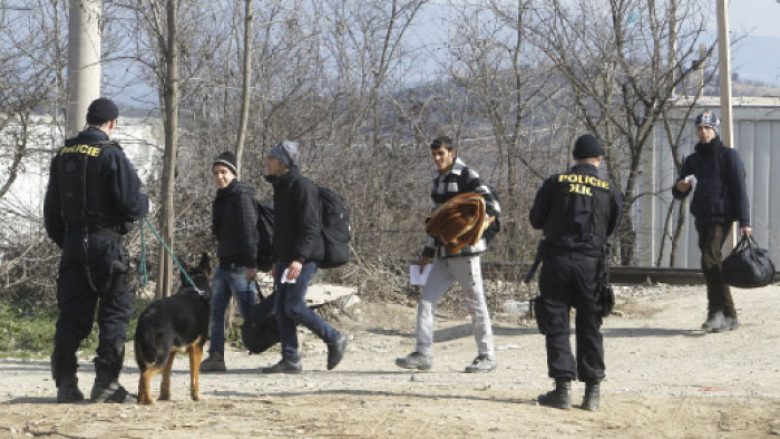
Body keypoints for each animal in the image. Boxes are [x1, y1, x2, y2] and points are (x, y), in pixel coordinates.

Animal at [136, 254, 210, 406]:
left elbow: (166, 376)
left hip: (147, 355)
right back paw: (149, 401)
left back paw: (141, 400)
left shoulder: (172, 352)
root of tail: (148, 315)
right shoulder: (197, 348)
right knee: (146, 375)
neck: (194, 290)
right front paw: (196, 396)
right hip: (160, 355)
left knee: (141, 376)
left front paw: (165, 396)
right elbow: (195, 376)